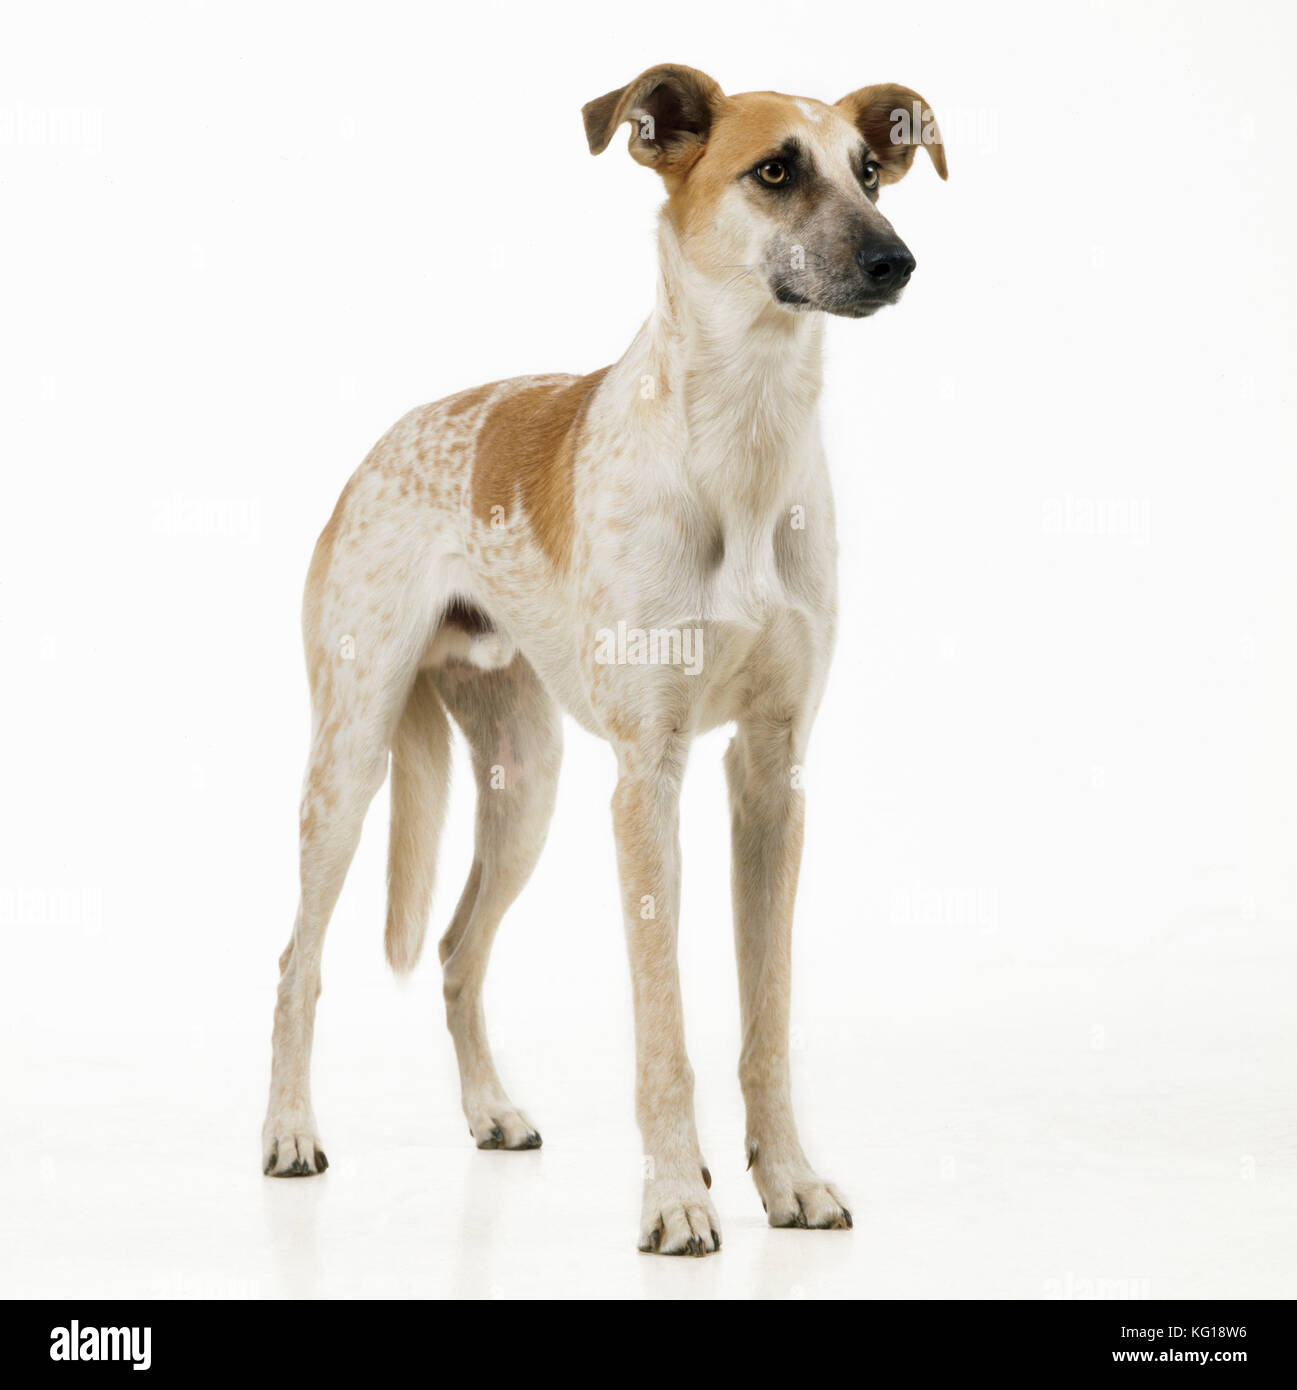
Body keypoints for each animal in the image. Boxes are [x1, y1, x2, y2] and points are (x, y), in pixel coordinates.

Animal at [262, 65, 945, 1256]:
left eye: (870, 172)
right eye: (775, 171)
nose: (894, 260)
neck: (744, 444)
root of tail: (386, 442)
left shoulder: (770, 775)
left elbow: (765, 1016)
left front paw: (786, 1178)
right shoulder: (647, 778)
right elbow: (661, 1022)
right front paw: (676, 1195)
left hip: (525, 786)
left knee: (457, 950)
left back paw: (490, 1112)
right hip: (348, 763)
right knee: (296, 962)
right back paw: (290, 1133)